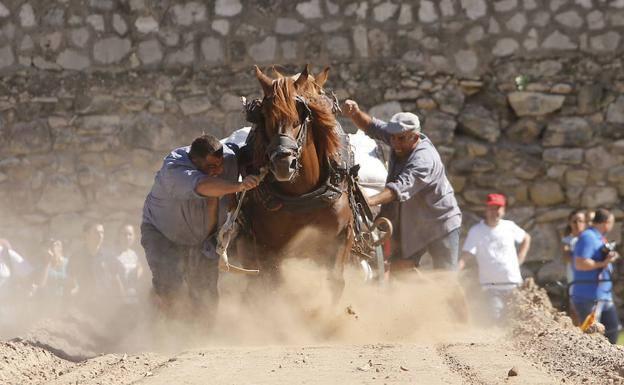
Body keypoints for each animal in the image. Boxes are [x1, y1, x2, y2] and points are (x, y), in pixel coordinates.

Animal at [235, 65, 354, 300]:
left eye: (301, 115)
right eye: (265, 116)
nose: (283, 163)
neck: (302, 197)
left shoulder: (340, 237)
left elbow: (335, 282)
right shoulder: (269, 250)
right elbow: (276, 287)